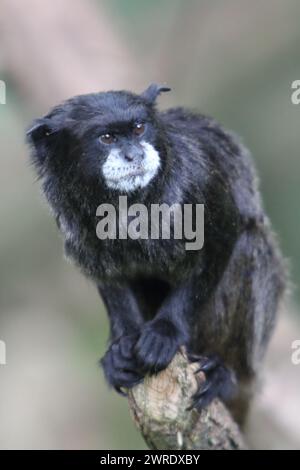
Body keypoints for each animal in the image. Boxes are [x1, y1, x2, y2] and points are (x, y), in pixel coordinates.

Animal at [27, 83, 284, 426]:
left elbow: (224, 241)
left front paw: (165, 332)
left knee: (248, 246)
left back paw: (224, 374)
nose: (134, 154)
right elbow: (111, 278)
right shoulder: (75, 224)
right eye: (106, 138)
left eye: (138, 128)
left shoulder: (201, 185)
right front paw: (122, 346)